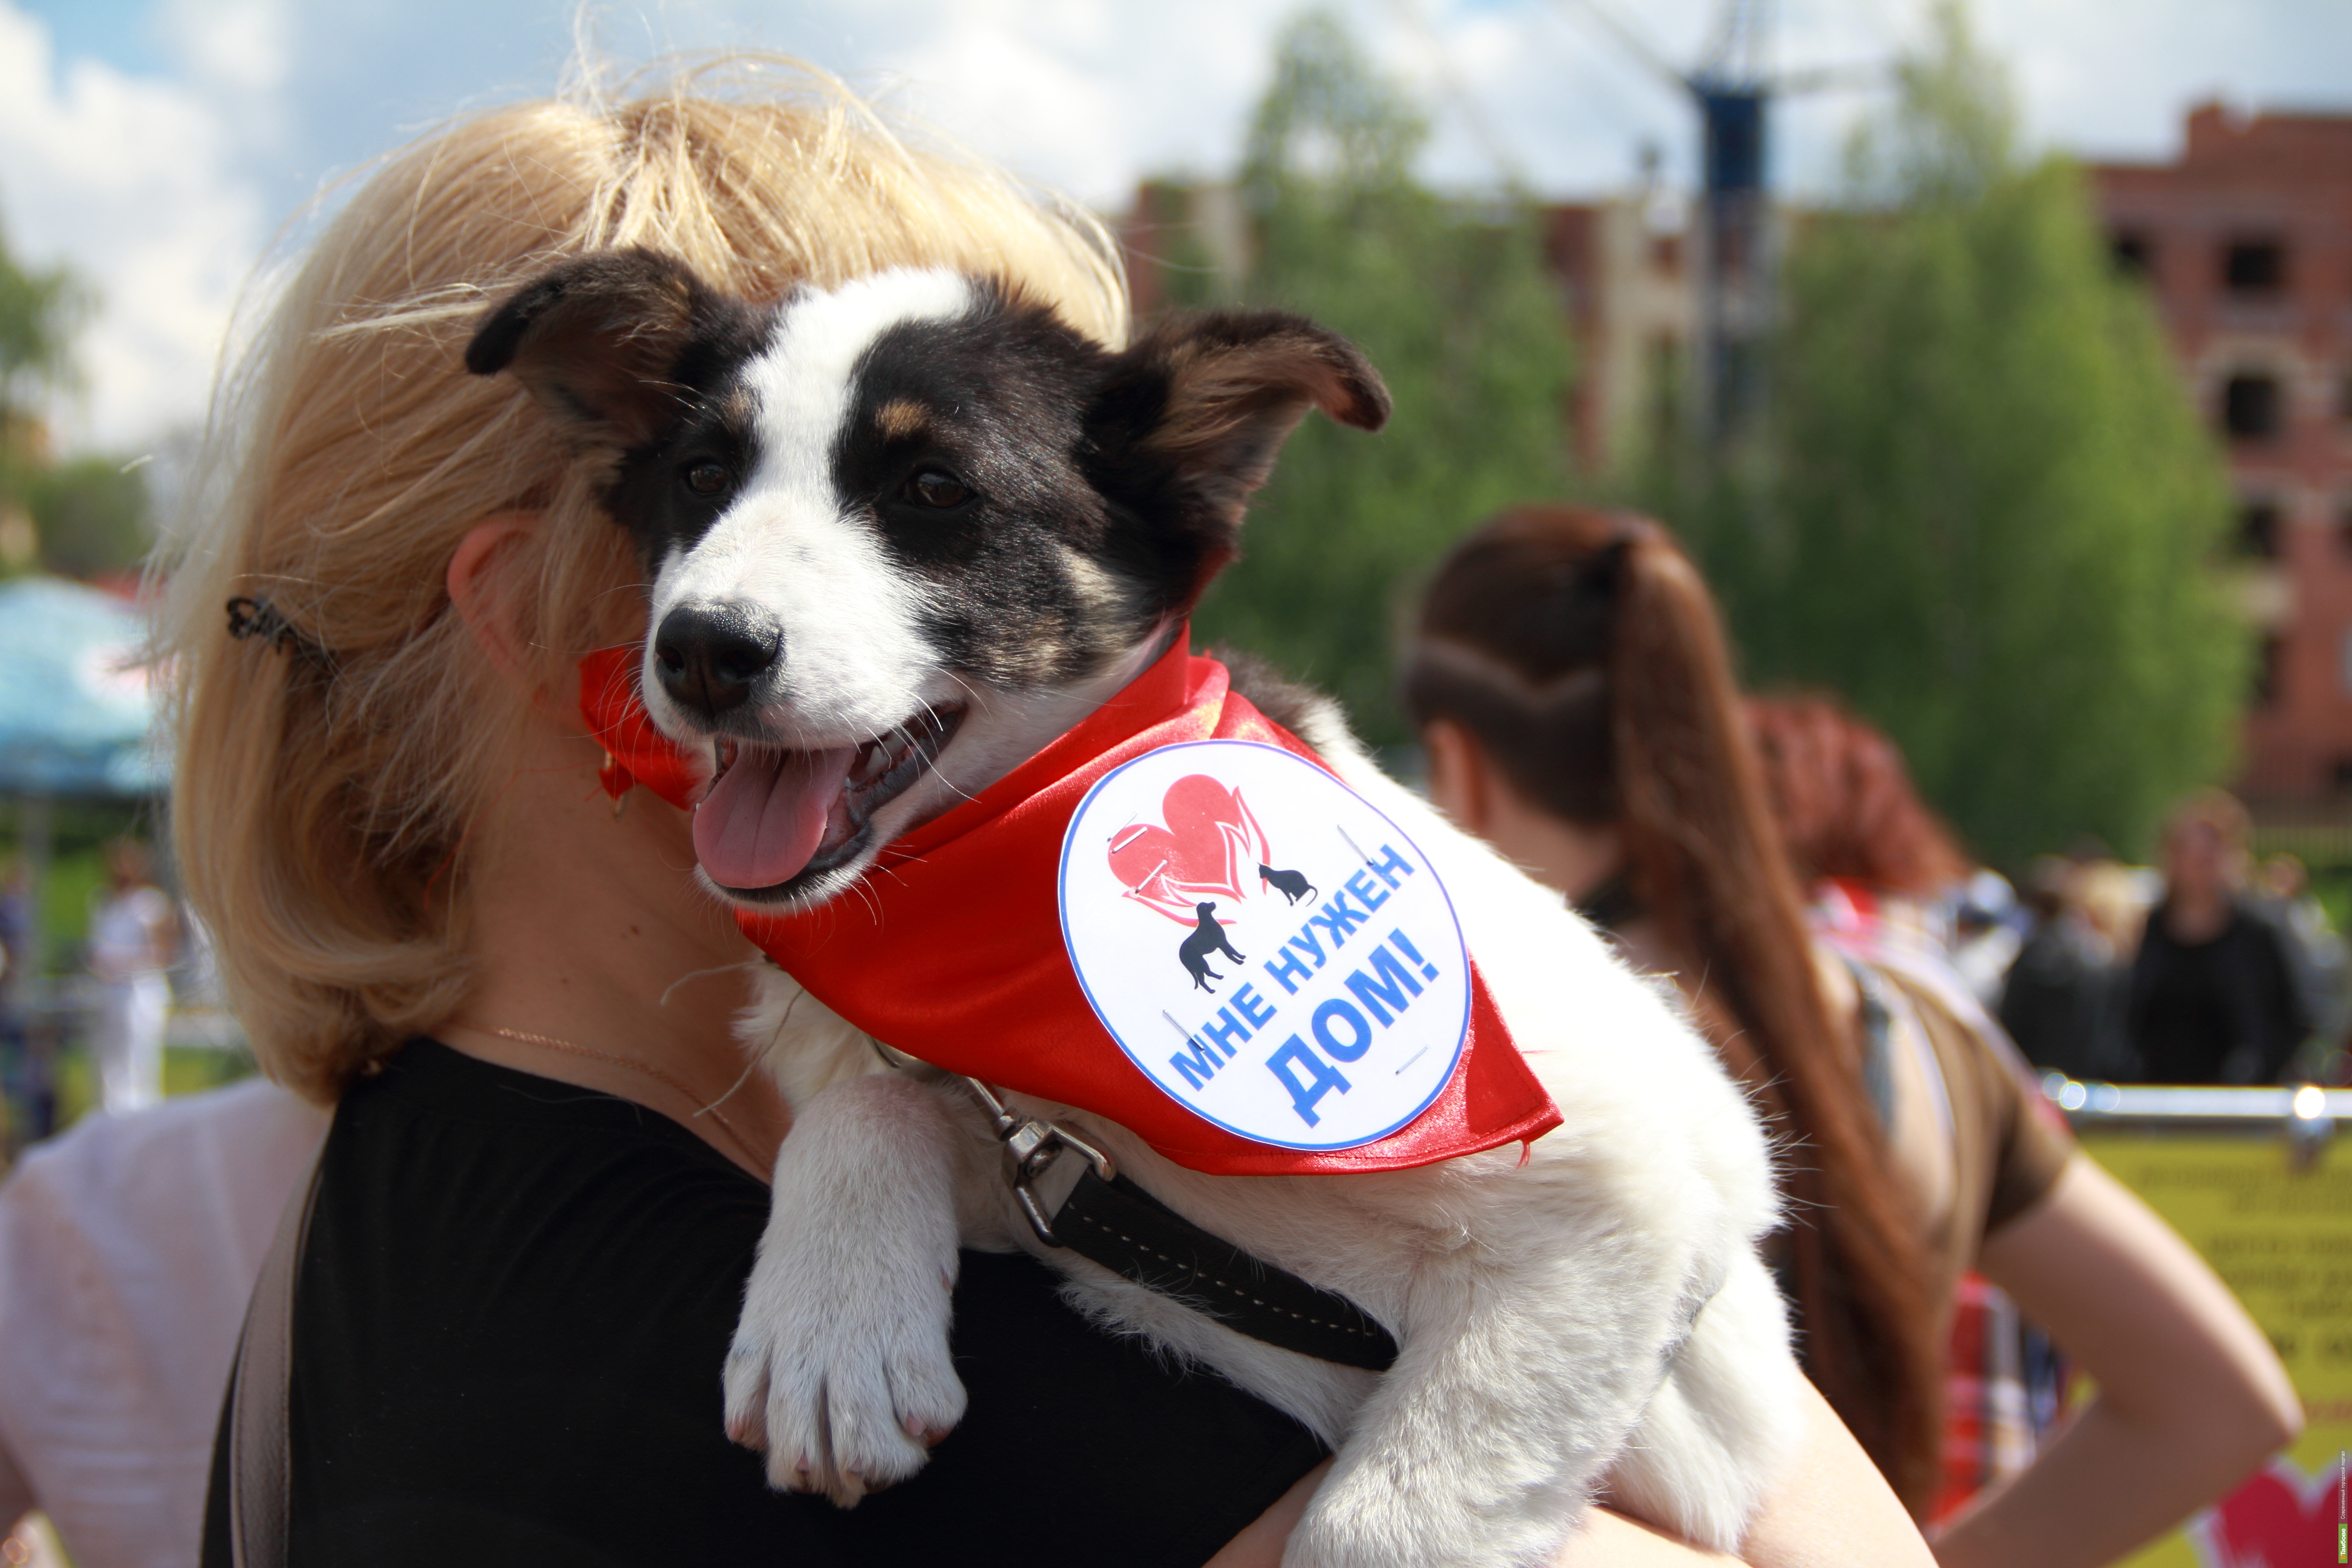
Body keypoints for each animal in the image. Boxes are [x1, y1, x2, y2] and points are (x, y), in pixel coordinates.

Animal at [472, 251, 1797, 1561]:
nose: (704, 649)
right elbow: (868, 1107)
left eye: (935, 487)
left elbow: (1380, 1524)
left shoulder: (1643, 1182)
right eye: (701, 474)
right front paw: (834, 1324)